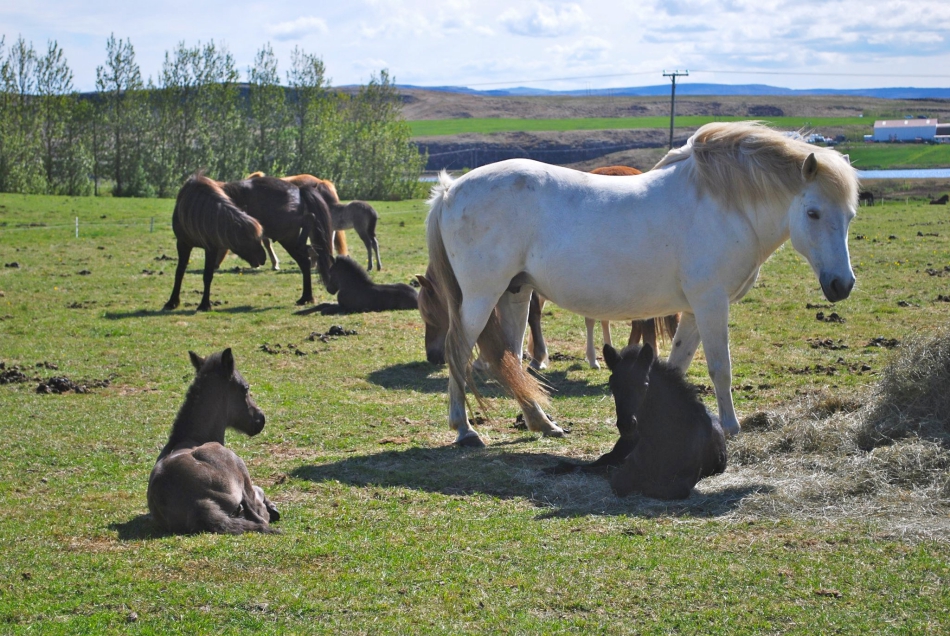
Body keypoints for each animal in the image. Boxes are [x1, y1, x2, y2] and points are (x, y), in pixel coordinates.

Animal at [145, 350, 278, 536]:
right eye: (245, 388)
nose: (260, 419)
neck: (194, 438)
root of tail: (197, 503)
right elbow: (259, 495)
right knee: (259, 515)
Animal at [163, 175, 268, 312]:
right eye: (246, 239)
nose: (263, 258)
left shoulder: (212, 248)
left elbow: (208, 275)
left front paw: (204, 304)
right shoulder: (183, 244)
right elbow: (179, 272)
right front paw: (172, 302)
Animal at [428, 120, 860, 448]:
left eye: (850, 215)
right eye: (813, 212)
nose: (841, 285)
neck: (725, 205)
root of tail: (449, 192)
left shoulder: (693, 310)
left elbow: (678, 366)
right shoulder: (710, 303)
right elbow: (720, 368)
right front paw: (731, 428)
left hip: (516, 294)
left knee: (513, 360)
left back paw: (542, 424)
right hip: (481, 296)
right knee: (458, 351)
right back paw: (465, 430)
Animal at [604, 342, 728, 502]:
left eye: (645, 385)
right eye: (612, 385)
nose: (626, 425)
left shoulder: (687, 477)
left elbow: (662, 489)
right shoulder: (628, 468)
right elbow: (618, 484)